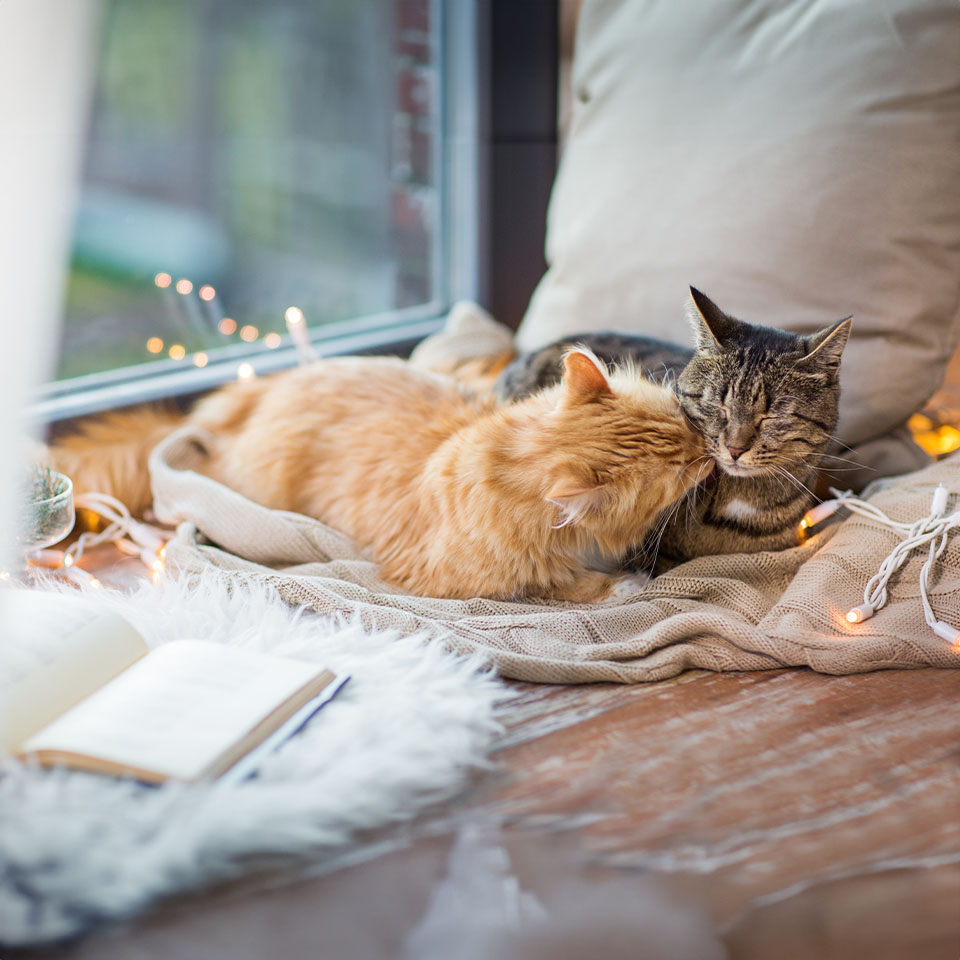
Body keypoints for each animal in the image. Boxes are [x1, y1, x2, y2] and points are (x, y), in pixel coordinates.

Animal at [54, 348, 712, 600]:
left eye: (683, 419)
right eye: (679, 467)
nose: (710, 450)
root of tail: (257, 389)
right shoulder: (460, 580)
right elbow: (562, 585)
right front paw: (623, 584)